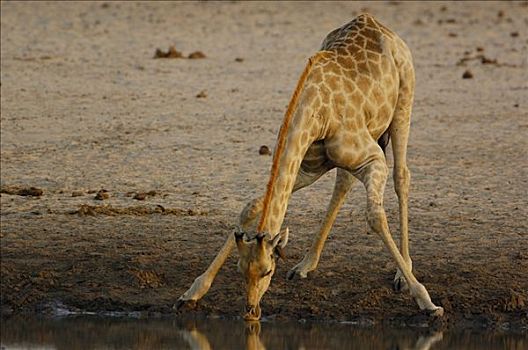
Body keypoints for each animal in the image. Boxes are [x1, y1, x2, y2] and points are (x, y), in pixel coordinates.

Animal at [175, 13, 444, 320]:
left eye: (267, 271)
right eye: (241, 269)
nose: (251, 311)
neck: (318, 112)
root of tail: (376, 23)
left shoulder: (374, 160)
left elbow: (375, 217)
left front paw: (428, 302)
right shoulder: (307, 167)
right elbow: (252, 206)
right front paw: (191, 293)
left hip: (404, 102)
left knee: (402, 177)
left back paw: (403, 272)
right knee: (343, 182)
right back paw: (305, 264)